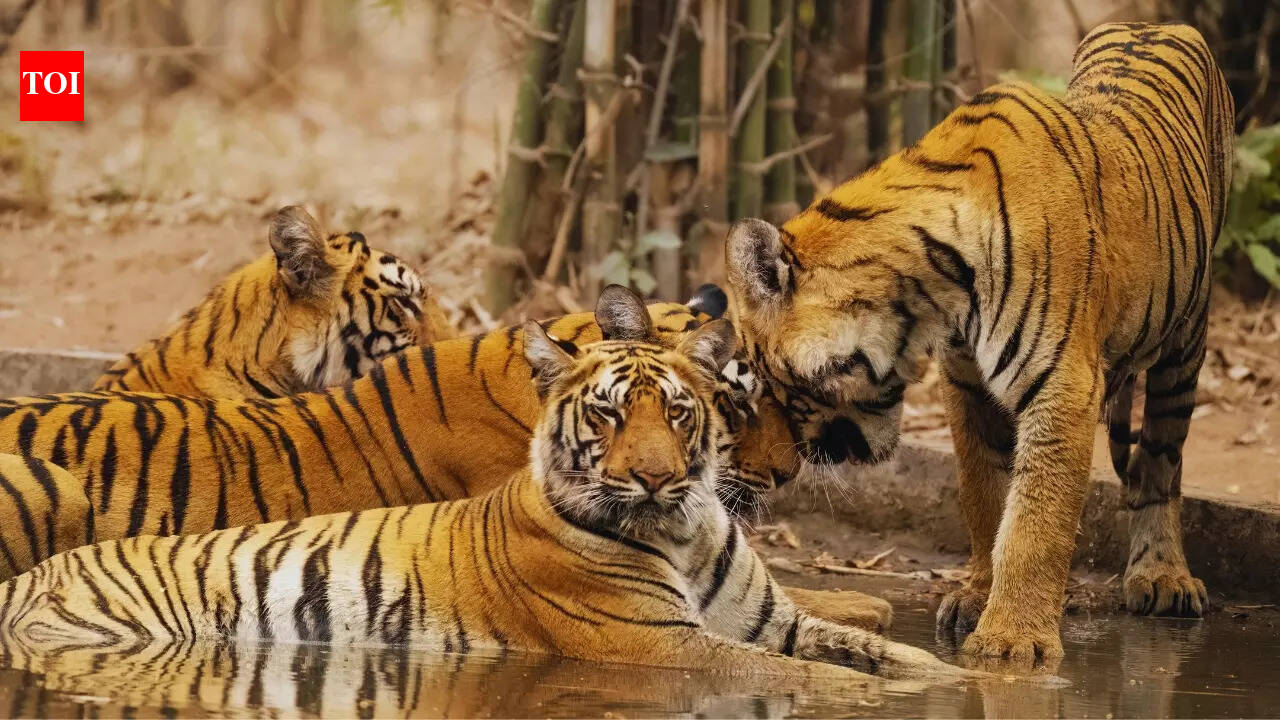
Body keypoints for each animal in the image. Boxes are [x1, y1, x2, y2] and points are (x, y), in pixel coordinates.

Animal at [0, 317, 966, 682]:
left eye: (680, 411)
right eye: (609, 414)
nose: (657, 478)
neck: (687, 529)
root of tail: (36, 579)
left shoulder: (772, 618)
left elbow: (858, 645)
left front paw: (953, 673)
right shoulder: (664, 645)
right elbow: (806, 675)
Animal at [723, 22, 1233, 662]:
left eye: (764, 384)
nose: (786, 470)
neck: (929, 293)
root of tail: (1155, 23)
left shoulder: (1063, 384)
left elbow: (1035, 522)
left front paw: (1010, 642)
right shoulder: (967, 382)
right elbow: (985, 494)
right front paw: (977, 599)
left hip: (1187, 338)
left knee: (1164, 461)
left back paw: (1162, 577)